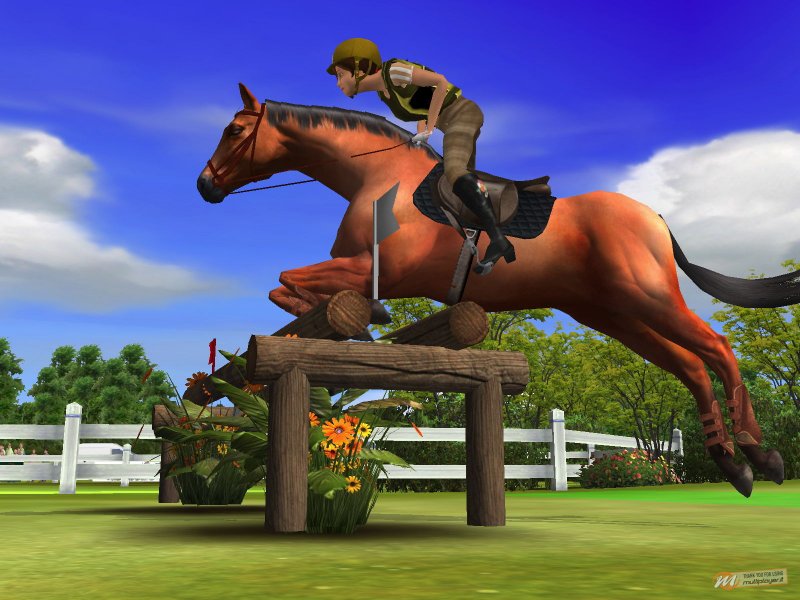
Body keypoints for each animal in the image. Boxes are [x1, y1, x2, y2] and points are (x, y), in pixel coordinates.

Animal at [198, 83, 795, 497]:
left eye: (234, 131)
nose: (205, 185)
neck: (379, 180)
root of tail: (653, 216)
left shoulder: (374, 269)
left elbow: (291, 283)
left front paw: (369, 321)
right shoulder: (358, 269)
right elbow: (288, 290)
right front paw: (361, 328)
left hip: (649, 298)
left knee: (718, 349)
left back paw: (760, 456)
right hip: (614, 314)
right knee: (691, 366)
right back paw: (734, 465)